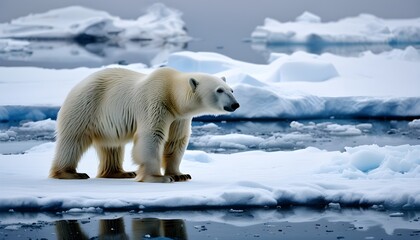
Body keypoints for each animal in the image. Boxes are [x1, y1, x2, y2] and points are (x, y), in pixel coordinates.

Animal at [49, 66, 240, 183]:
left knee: (111, 146)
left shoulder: (179, 117)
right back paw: (70, 173)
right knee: (73, 140)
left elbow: (176, 141)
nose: (235, 104)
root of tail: (77, 85)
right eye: (219, 90)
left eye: (231, 89)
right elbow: (152, 136)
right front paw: (158, 178)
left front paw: (180, 175)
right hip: (86, 106)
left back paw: (120, 172)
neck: (171, 92)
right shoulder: (155, 102)